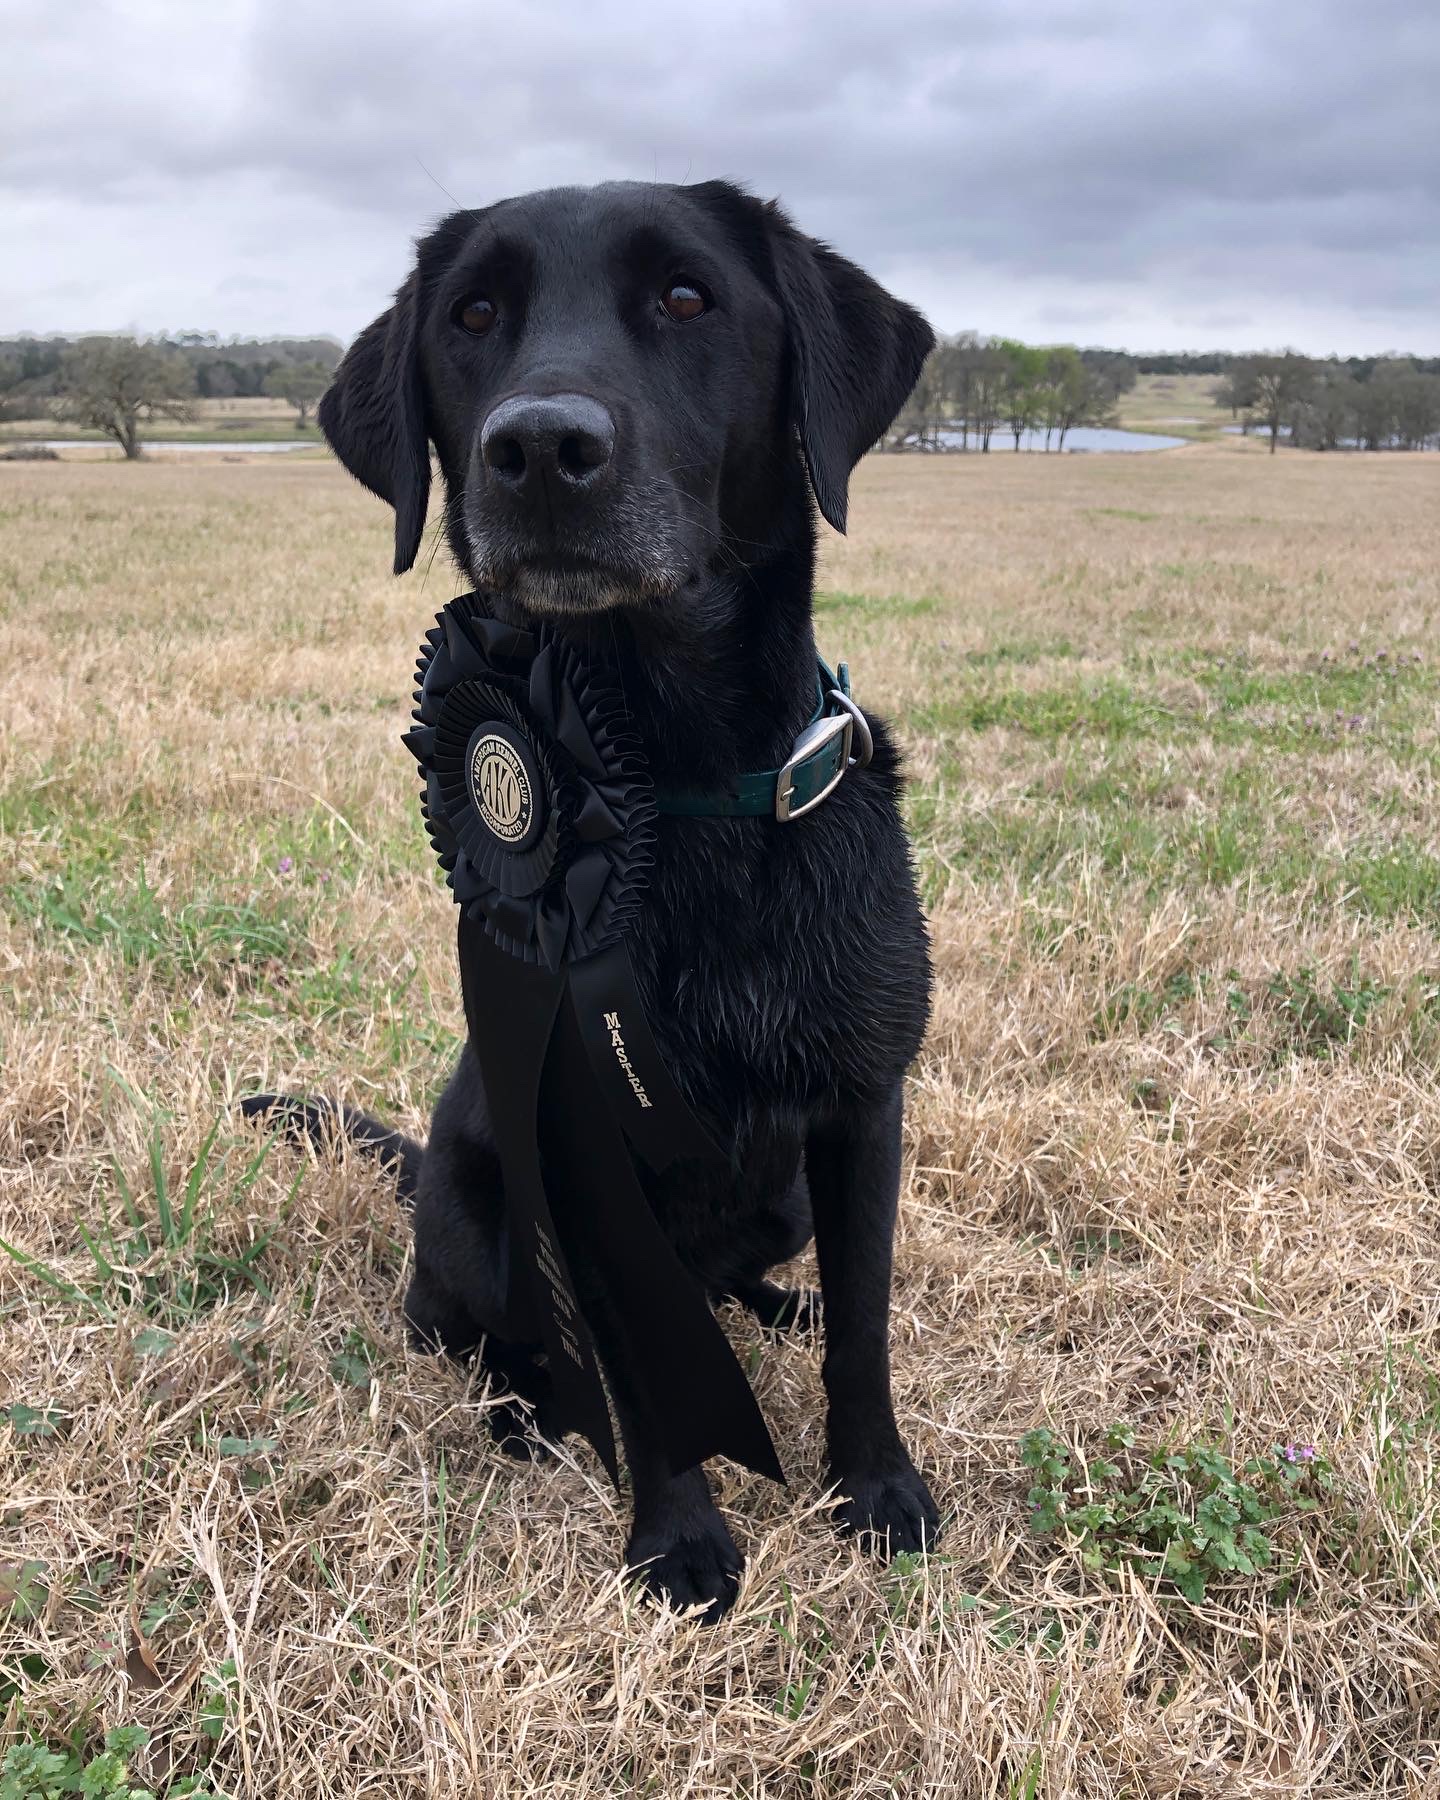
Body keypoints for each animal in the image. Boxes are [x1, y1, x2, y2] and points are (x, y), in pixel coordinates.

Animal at [250, 179, 936, 1620]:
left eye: (686, 297)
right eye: (473, 315)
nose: (540, 449)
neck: (674, 793)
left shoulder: (864, 1107)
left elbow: (865, 1324)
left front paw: (877, 1487)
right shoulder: (578, 1156)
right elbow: (637, 1369)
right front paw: (677, 1541)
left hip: (782, 1196)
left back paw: (771, 1309)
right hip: (469, 1199)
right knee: (471, 1329)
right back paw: (522, 1410)